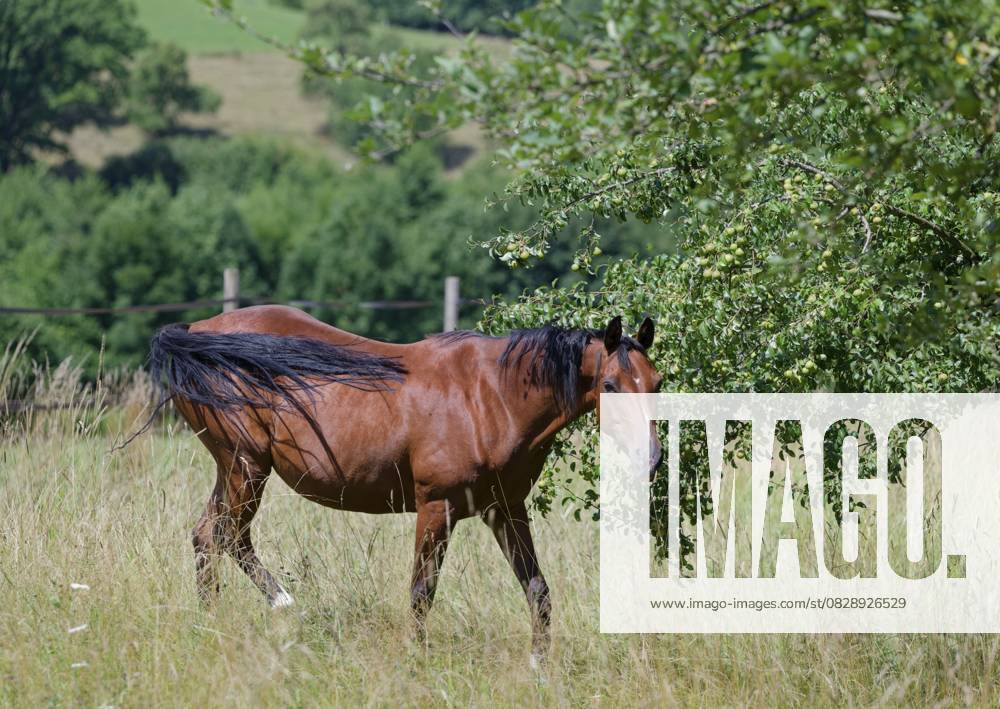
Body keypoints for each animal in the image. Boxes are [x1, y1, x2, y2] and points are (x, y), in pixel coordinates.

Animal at [148, 304, 663, 663]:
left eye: (656, 382)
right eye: (611, 386)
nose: (652, 458)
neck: (491, 396)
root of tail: (194, 333)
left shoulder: (505, 508)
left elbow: (537, 590)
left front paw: (539, 665)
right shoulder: (437, 507)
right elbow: (421, 593)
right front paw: (418, 658)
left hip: (234, 471)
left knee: (209, 537)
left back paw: (214, 625)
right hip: (245, 467)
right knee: (227, 536)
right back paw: (280, 604)